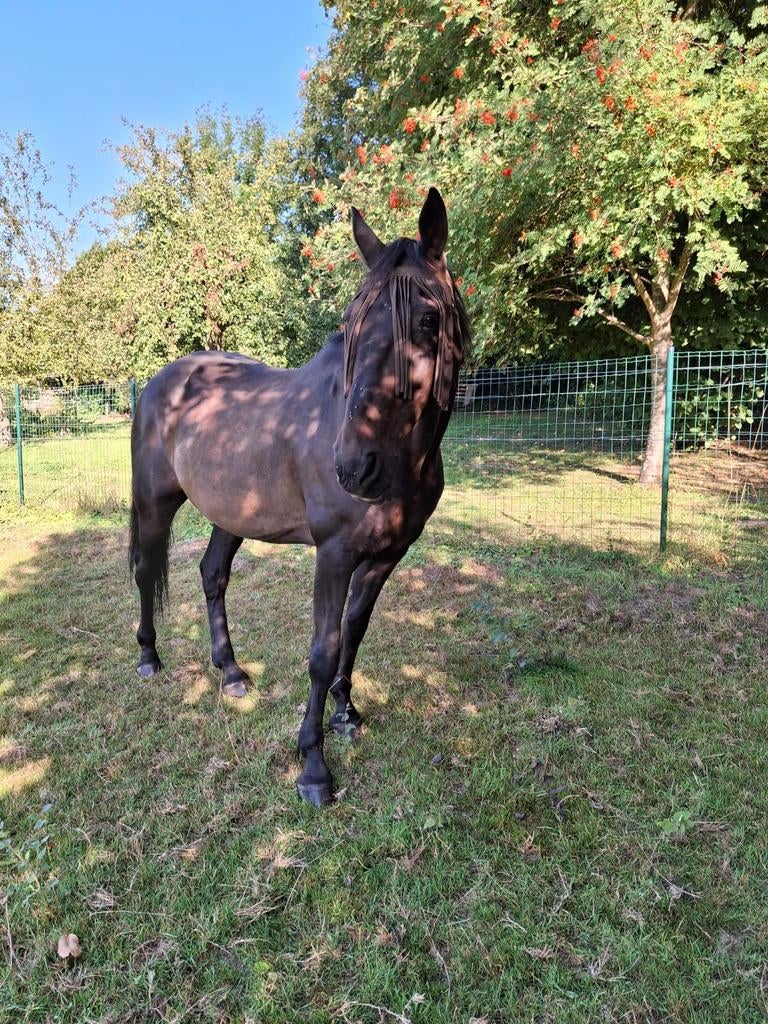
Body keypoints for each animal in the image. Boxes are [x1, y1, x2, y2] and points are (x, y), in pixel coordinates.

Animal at [129, 187, 471, 805]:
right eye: (350, 324)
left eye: (429, 319)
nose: (354, 469)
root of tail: (159, 383)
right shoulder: (333, 556)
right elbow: (322, 650)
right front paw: (313, 763)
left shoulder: (385, 558)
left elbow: (354, 632)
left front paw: (346, 714)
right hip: (154, 504)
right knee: (147, 571)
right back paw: (149, 656)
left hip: (231, 513)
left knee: (213, 574)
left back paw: (231, 673)